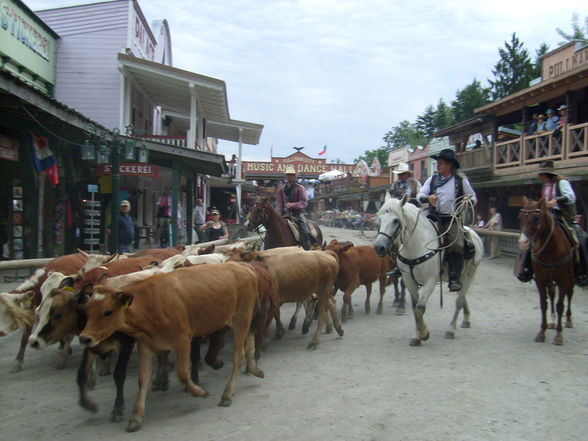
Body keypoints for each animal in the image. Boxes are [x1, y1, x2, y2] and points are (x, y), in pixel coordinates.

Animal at [79, 262, 262, 432]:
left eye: (108, 312)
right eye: (87, 311)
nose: (84, 338)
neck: (149, 304)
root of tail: (242, 265)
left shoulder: (182, 339)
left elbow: (182, 373)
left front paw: (199, 391)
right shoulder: (146, 344)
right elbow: (142, 379)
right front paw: (136, 417)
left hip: (242, 316)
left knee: (238, 354)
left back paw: (227, 394)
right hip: (234, 319)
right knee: (250, 338)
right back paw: (254, 369)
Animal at [372, 194, 482, 346]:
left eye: (395, 220)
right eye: (379, 219)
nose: (379, 247)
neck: (416, 247)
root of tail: (473, 235)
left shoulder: (430, 281)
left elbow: (420, 308)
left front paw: (423, 334)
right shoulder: (409, 280)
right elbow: (415, 307)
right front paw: (417, 335)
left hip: (468, 275)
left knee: (459, 301)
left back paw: (451, 329)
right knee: (461, 296)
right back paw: (466, 319)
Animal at [520, 196, 576, 344]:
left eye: (536, 218)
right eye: (520, 216)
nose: (523, 242)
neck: (551, 249)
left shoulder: (563, 279)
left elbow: (560, 305)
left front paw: (558, 335)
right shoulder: (540, 279)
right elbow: (543, 304)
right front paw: (542, 332)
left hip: (570, 279)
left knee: (569, 295)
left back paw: (568, 320)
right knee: (551, 295)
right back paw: (552, 321)